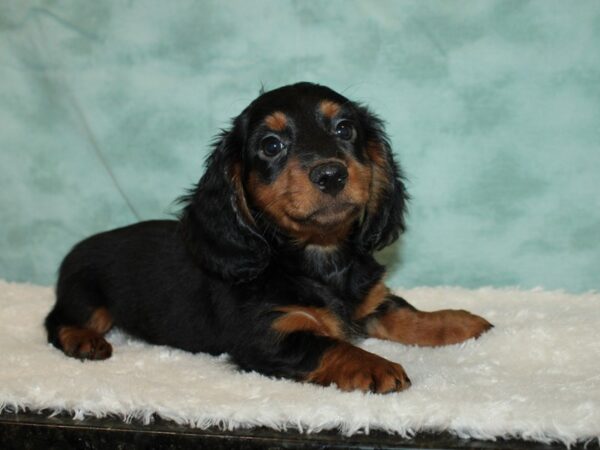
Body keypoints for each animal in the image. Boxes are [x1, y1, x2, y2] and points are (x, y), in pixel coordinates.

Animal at [44, 81, 490, 394]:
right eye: (271, 145)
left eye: (345, 129)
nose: (332, 174)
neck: (318, 256)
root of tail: (76, 249)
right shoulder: (267, 335)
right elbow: (330, 345)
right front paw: (375, 365)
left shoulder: (370, 301)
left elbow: (405, 313)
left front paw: (454, 320)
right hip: (86, 297)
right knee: (56, 321)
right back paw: (84, 342)